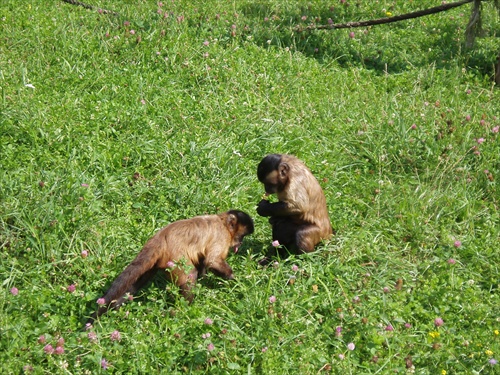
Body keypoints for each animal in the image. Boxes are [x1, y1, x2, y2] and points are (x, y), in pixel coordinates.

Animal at [85, 210, 254, 324]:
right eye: (241, 236)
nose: (240, 244)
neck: (222, 221)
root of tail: (160, 238)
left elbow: (203, 261)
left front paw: (205, 276)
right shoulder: (222, 236)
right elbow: (212, 261)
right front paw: (233, 278)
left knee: (136, 281)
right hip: (176, 258)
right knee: (189, 275)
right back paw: (186, 309)